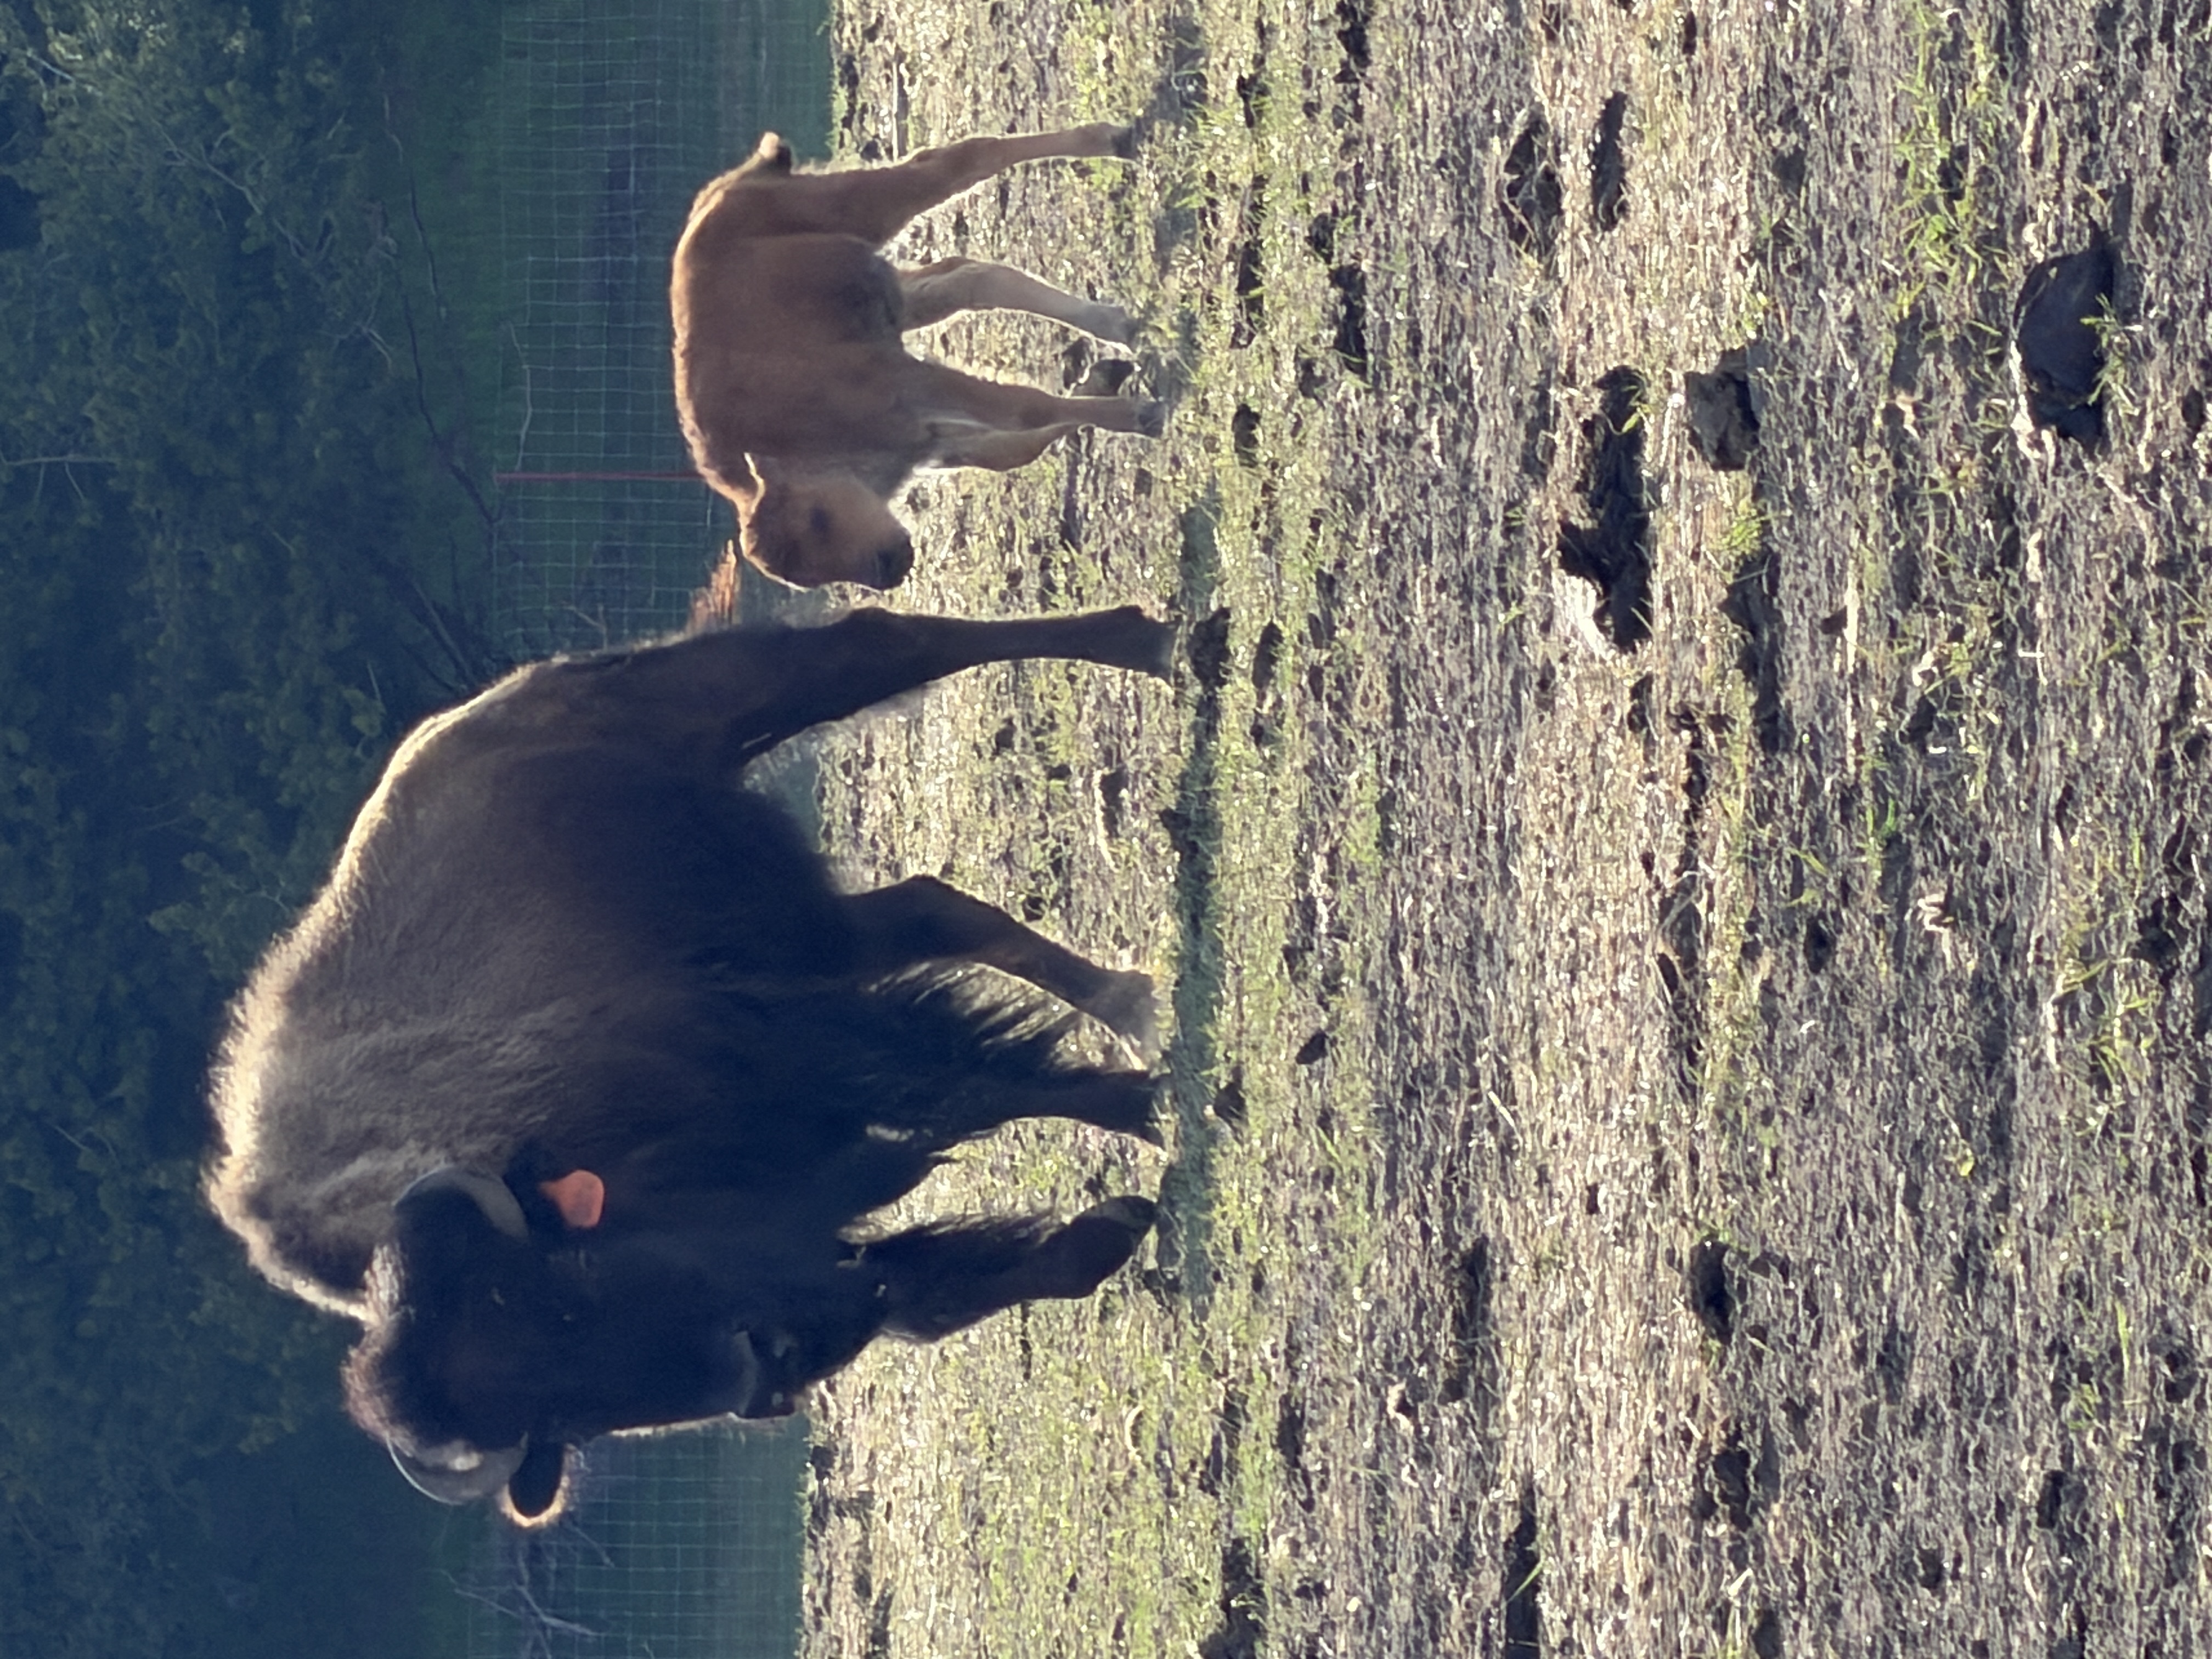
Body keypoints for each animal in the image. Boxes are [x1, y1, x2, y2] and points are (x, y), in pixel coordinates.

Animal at [207, 603, 1175, 1518]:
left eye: (567, 1277)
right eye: (562, 1419)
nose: (761, 1369)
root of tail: (470, 717)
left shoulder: (800, 1058)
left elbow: (984, 1086)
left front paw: (1151, 1112)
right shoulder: (796, 1213)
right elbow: (927, 1282)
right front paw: (1108, 1226)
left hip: (741, 707)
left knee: (887, 644)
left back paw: (1152, 649)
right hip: (806, 925)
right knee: (933, 906)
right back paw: (1126, 996)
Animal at [674, 123, 1162, 589]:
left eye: (817, 519)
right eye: (802, 575)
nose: (888, 567)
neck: (792, 448)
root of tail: (734, 184)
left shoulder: (911, 386)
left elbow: (1026, 410)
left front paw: (1142, 414)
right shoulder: (935, 439)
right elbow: (1018, 446)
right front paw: (1106, 379)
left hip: (872, 208)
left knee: (959, 162)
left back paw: (1111, 140)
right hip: (897, 296)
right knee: (970, 278)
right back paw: (1116, 324)